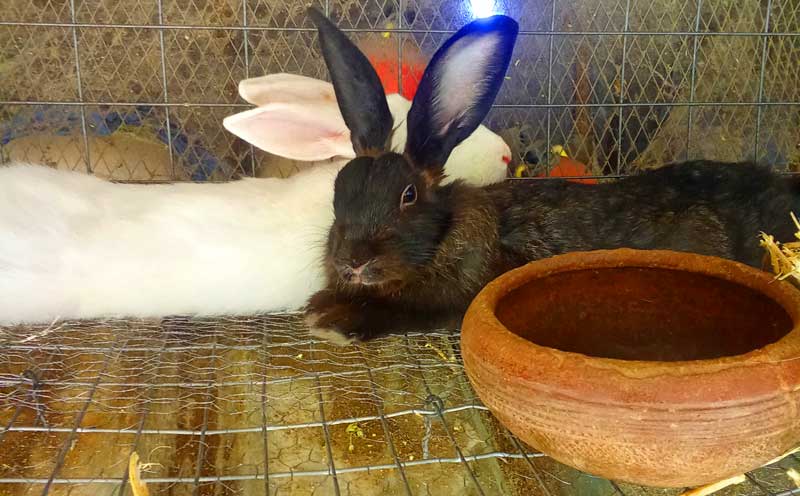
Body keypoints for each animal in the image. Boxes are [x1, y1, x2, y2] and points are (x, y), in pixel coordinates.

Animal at [301, 7, 800, 345]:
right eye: (338, 190)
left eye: (408, 196)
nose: (352, 262)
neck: (441, 238)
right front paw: (320, 307)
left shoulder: (456, 300)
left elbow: (403, 311)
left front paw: (330, 320)